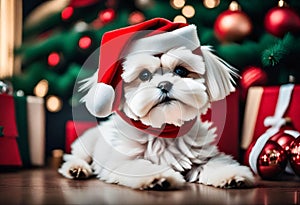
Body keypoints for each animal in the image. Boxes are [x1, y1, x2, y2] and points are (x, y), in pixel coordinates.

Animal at [58, 18, 253, 190]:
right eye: (144, 75)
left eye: (181, 71)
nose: (165, 85)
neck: (164, 131)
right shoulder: (122, 162)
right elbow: (141, 167)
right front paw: (158, 178)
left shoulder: (203, 154)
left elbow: (216, 163)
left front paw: (233, 176)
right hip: (87, 143)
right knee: (75, 157)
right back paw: (76, 169)